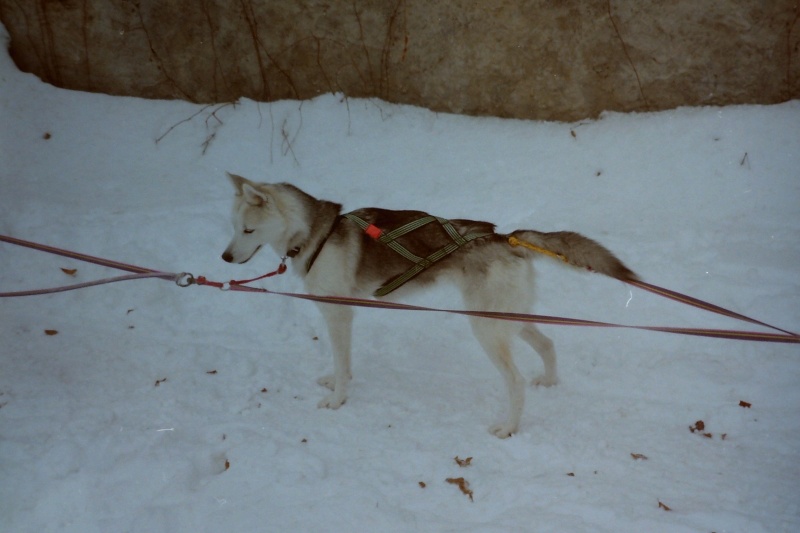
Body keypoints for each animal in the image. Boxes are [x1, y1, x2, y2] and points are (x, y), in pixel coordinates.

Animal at [220, 172, 636, 438]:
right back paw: (549, 381)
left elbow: (340, 364)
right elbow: (344, 362)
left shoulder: (338, 312)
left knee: (516, 382)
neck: (316, 234)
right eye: (233, 227)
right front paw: (339, 380)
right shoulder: (345, 314)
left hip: (486, 327)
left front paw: (337, 399)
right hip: (509, 319)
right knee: (547, 343)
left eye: (248, 230)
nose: (224, 258)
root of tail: (505, 238)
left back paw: (509, 427)